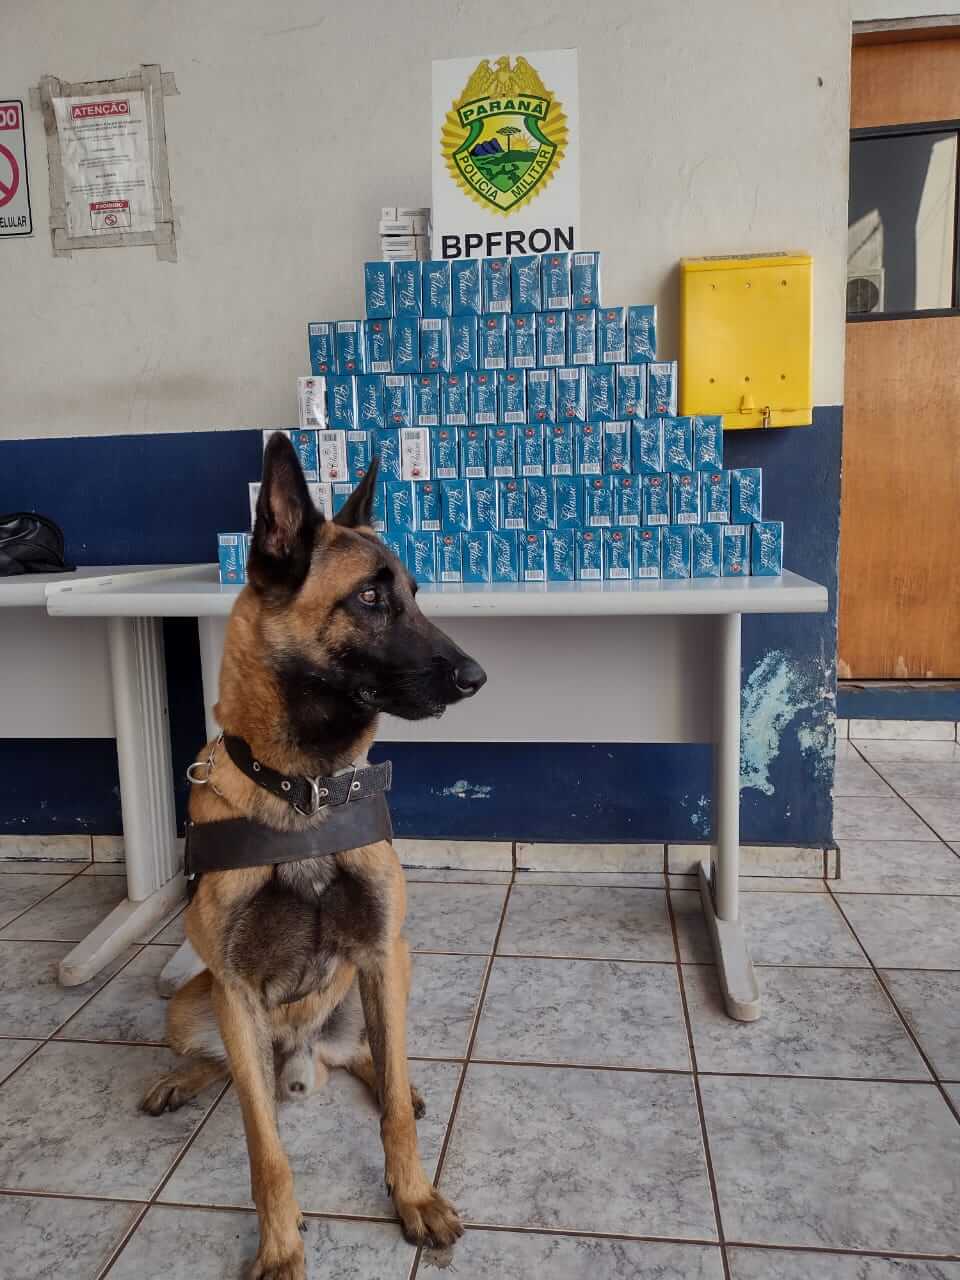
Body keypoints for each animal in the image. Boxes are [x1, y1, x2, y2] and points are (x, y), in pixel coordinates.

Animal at [141, 433, 486, 1280]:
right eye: (369, 598)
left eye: (416, 593)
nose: (476, 678)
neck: (304, 790)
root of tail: (304, 1054)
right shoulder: (233, 990)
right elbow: (264, 1148)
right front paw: (279, 1244)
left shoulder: (381, 950)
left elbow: (393, 1109)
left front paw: (413, 1195)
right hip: (192, 1004)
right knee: (233, 1067)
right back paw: (185, 1079)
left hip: (390, 969)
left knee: (369, 1055)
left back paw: (397, 1079)